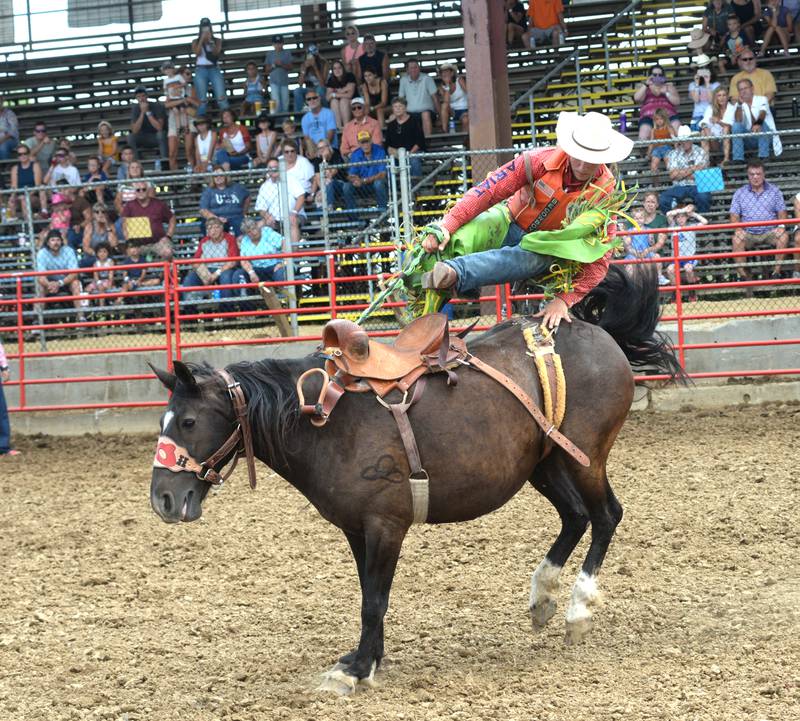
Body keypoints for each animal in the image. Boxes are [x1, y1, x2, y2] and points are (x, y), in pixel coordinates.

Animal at [148, 268, 680, 696]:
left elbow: (374, 599)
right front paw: (366, 659)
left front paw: (356, 670)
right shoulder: (356, 529)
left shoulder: (386, 525)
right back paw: (542, 598)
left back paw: (577, 610)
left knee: (605, 515)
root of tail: (596, 330)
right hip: (545, 465)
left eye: (189, 421)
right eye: (164, 419)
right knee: (575, 517)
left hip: (585, 457)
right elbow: (369, 593)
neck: (322, 416)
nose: (163, 499)